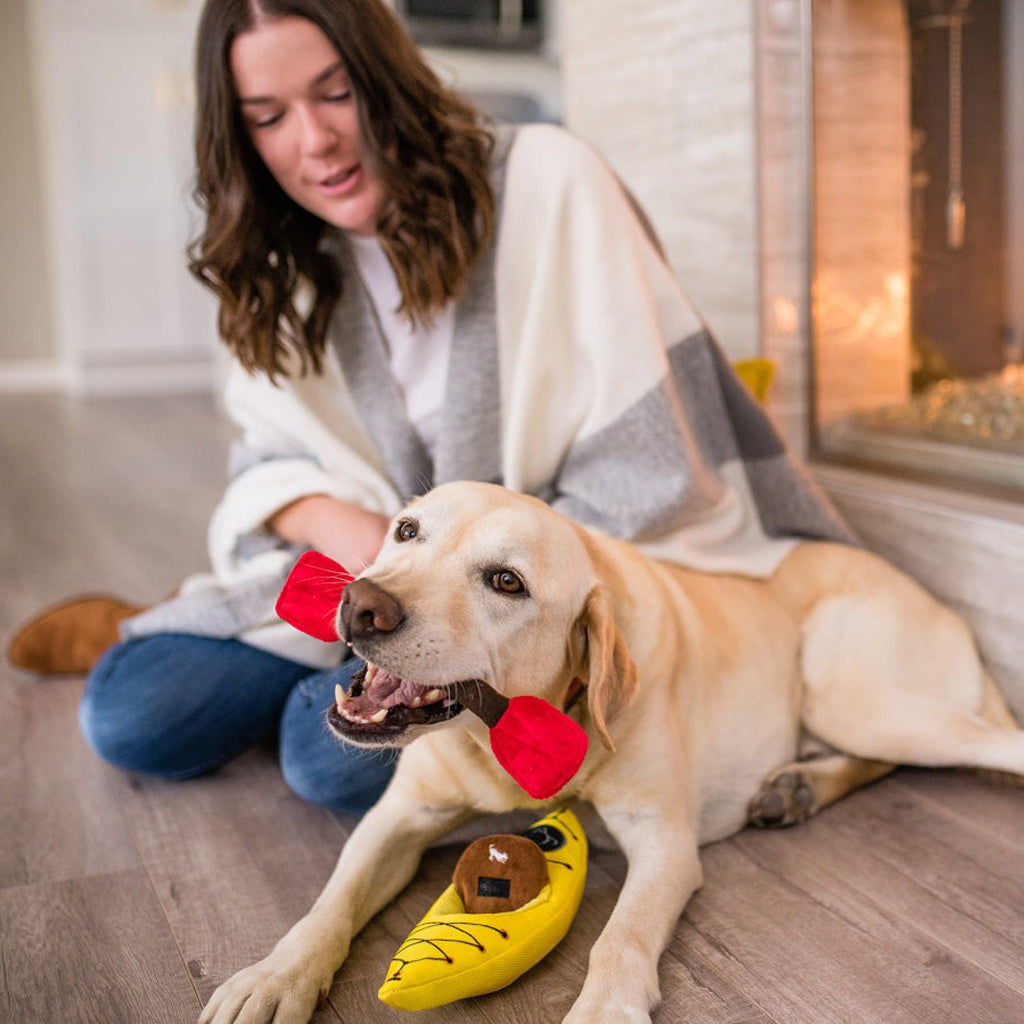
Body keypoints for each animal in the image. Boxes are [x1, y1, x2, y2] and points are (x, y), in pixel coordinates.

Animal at [201, 479, 1024, 1024]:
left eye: (507, 581)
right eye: (406, 531)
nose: (363, 603)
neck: (510, 736)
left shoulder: (665, 844)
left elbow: (621, 940)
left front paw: (604, 1008)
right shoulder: (398, 820)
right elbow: (329, 903)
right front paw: (273, 977)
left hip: (852, 692)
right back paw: (796, 788)